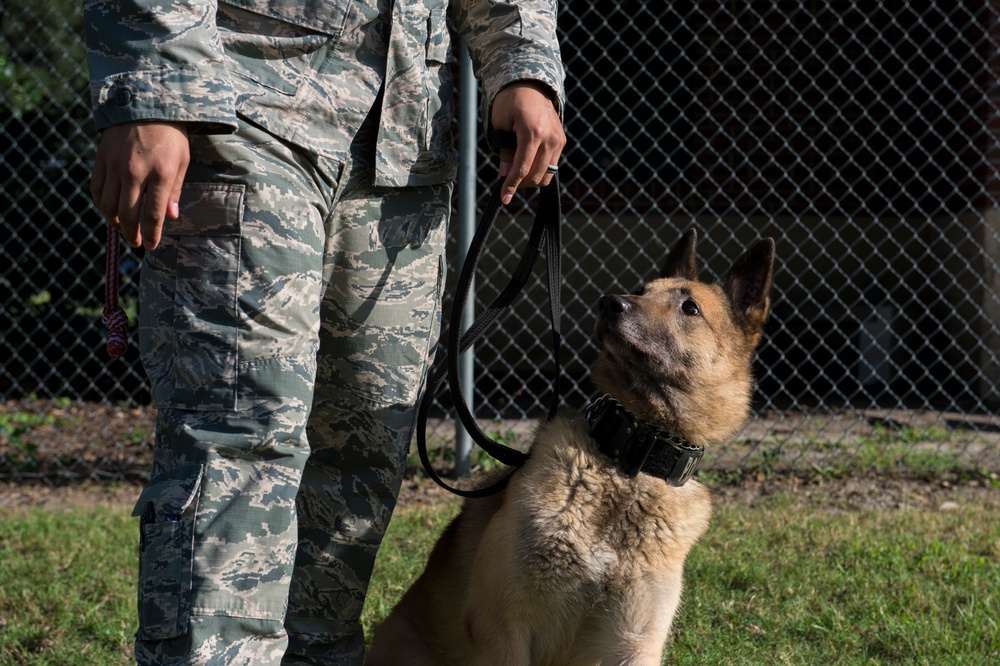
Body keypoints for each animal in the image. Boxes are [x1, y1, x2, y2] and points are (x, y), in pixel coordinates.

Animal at [368, 230, 772, 664]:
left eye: (690, 308)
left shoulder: (633, 642)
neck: (628, 459)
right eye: (641, 291)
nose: (610, 303)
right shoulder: (502, 629)